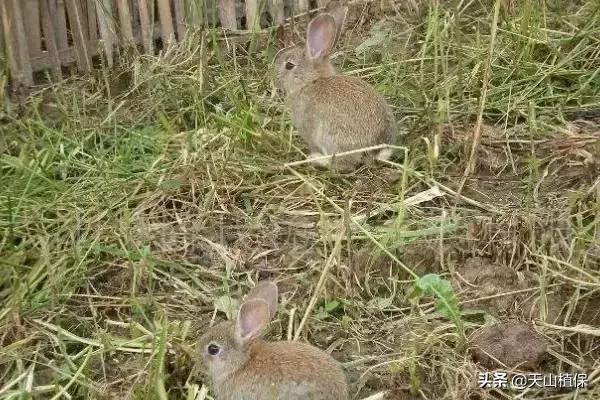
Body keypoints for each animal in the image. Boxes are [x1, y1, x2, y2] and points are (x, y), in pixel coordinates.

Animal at [274, 3, 396, 172]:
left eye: (289, 65)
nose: (274, 77)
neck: (310, 81)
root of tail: (376, 147)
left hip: (331, 137)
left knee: (343, 164)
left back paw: (316, 159)